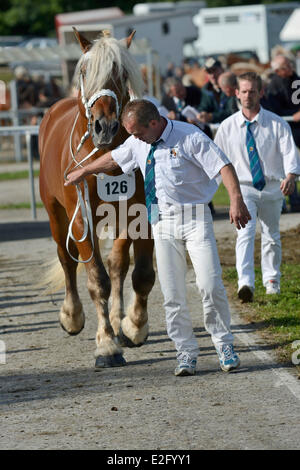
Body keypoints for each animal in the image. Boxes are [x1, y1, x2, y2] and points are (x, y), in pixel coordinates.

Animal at [38, 29, 155, 370]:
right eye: (85, 71)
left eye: (122, 74)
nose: (105, 126)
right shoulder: (80, 219)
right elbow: (96, 279)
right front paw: (105, 345)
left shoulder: (140, 215)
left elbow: (142, 275)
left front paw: (133, 326)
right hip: (55, 214)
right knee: (67, 261)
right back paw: (72, 316)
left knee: (118, 265)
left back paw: (118, 321)